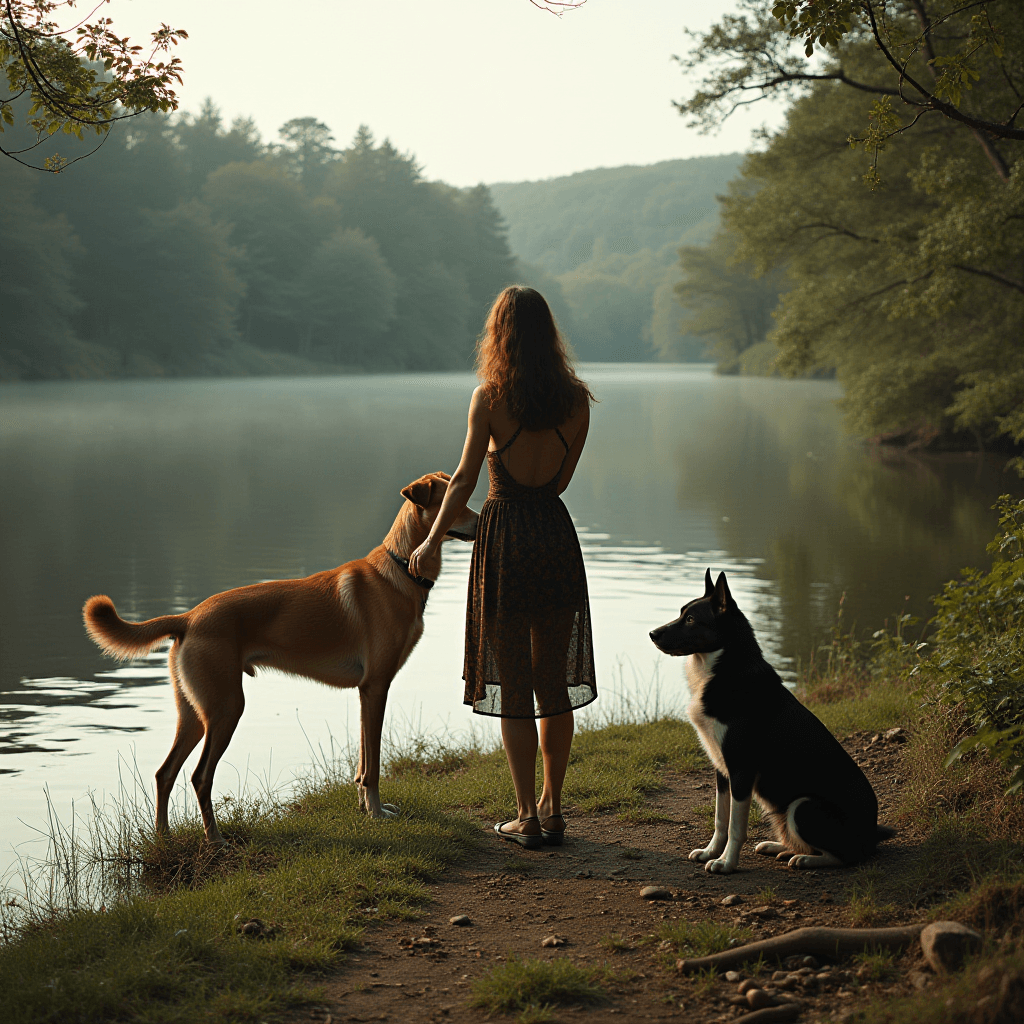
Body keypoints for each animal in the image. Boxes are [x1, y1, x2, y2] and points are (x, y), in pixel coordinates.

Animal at [82, 471, 475, 847]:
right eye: (454, 503)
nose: (481, 517)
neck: (400, 571)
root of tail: (189, 617)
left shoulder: (367, 692)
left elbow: (364, 762)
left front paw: (367, 810)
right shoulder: (376, 686)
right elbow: (373, 765)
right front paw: (377, 814)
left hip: (194, 713)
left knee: (165, 773)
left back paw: (163, 840)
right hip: (226, 708)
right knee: (200, 776)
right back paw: (215, 839)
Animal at [651, 569, 892, 872]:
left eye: (691, 619)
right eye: (681, 613)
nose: (652, 634)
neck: (723, 669)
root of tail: (871, 835)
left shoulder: (741, 770)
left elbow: (735, 827)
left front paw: (726, 863)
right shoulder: (722, 771)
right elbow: (720, 819)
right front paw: (710, 852)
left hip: (802, 807)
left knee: (845, 856)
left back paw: (804, 859)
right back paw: (780, 847)